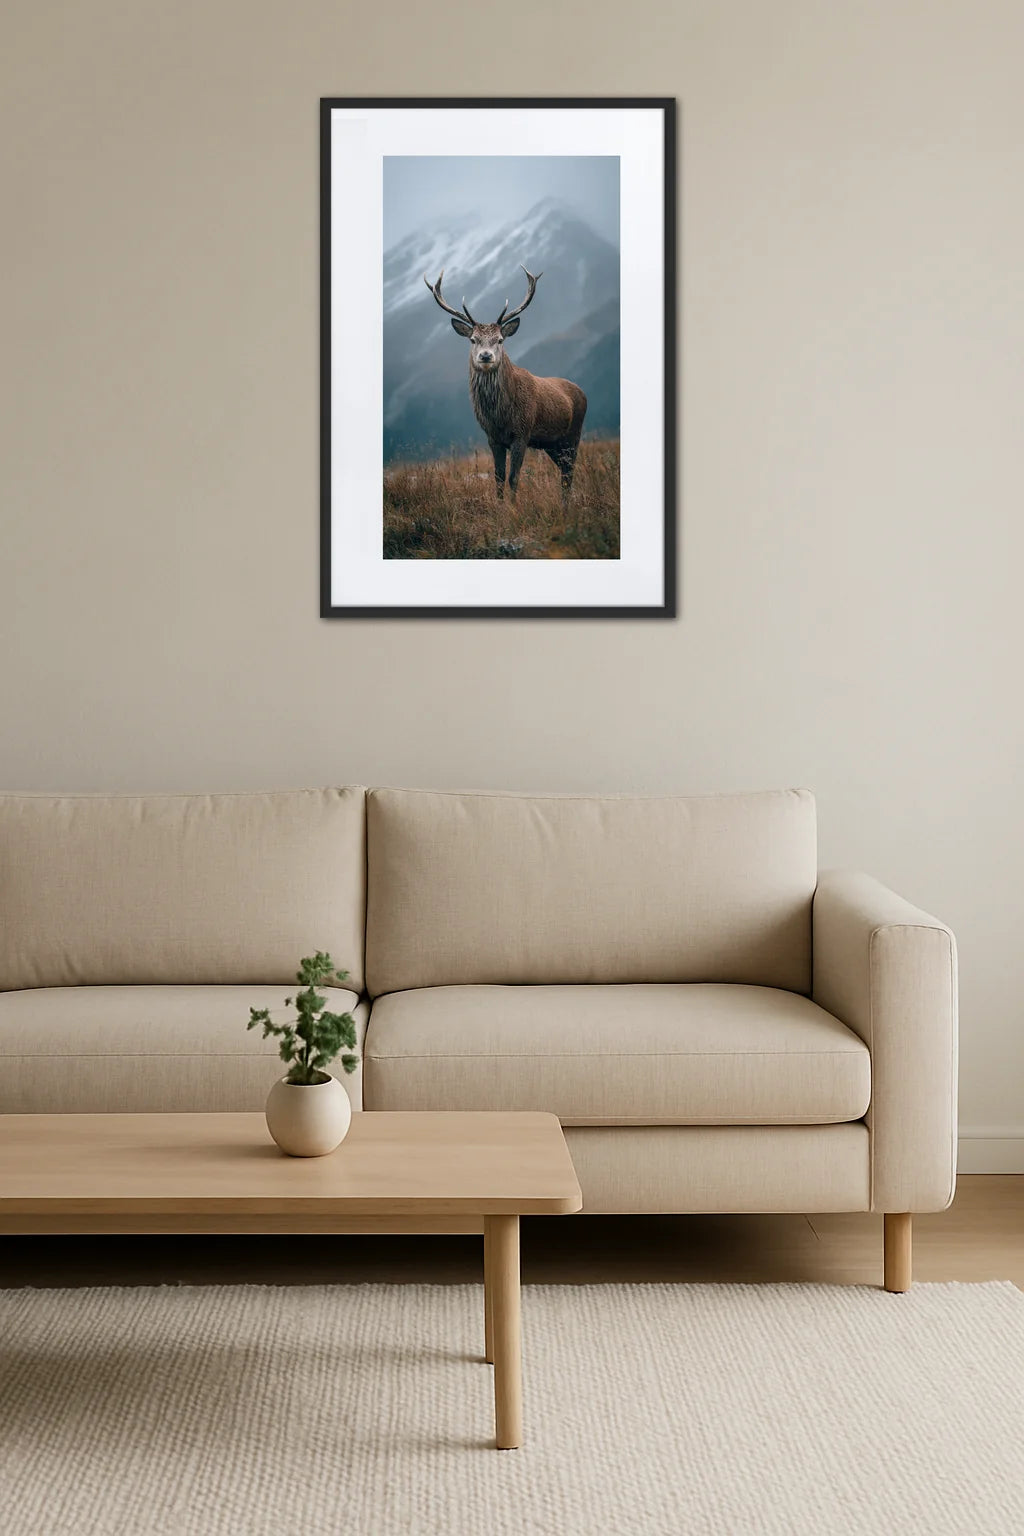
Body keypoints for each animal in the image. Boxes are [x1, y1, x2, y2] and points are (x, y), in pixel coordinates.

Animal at [424, 265, 587, 506]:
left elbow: (513, 477)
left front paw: (513, 508)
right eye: (473, 339)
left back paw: (565, 507)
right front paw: (500, 507)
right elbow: (498, 477)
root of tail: (582, 392)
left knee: (569, 472)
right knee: (564, 471)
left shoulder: (522, 432)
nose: (485, 356)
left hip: (573, 434)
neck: (499, 416)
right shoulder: (492, 438)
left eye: (500, 339)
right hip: (553, 444)